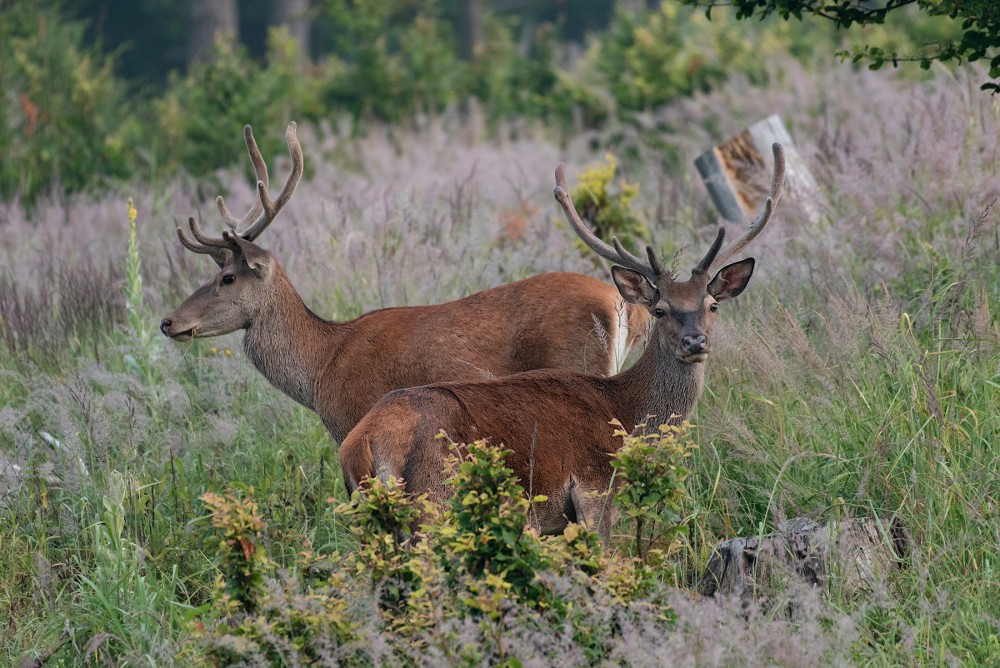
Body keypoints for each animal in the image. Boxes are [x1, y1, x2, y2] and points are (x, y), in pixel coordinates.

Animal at [160, 121, 652, 444]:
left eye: (226, 277)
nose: (168, 322)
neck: (321, 368)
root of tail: (623, 306)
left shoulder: (353, 418)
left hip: (581, 366)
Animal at [340, 144, 784, 540]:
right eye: (660, 309)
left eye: (712, 305)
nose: (694, 341)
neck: (626, 415)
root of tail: (362, 444)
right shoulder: (594, 490)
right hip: (436, 501)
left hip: (369, 519)